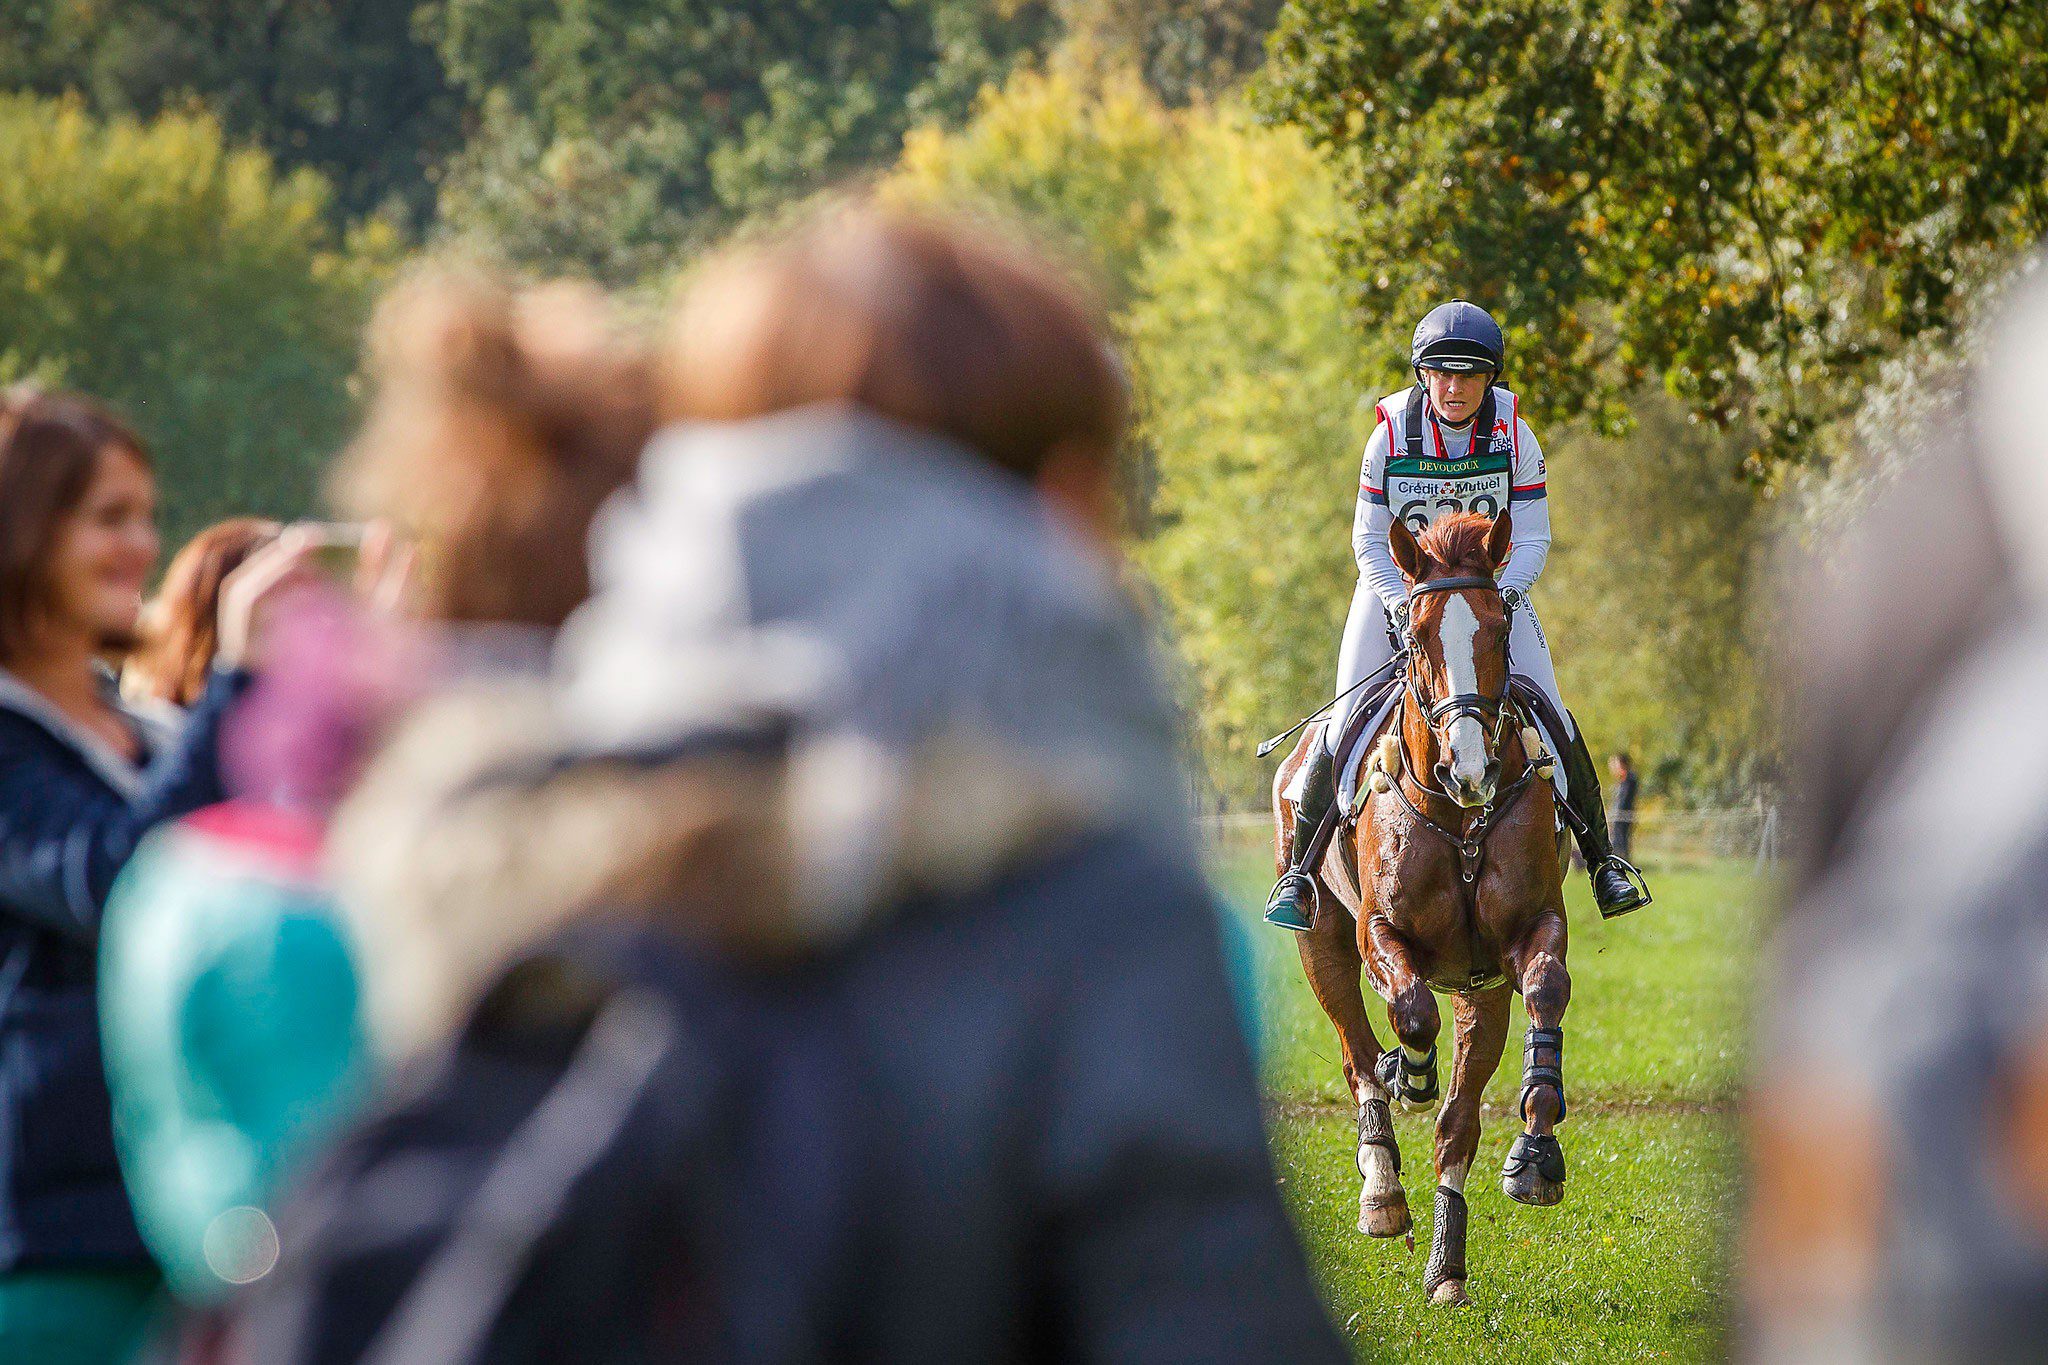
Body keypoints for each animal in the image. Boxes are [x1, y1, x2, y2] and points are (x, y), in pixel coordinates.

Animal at [1277, 511, 1564, 1309]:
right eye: (1417, 637)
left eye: (1499, 627)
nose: (1470, 769)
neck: (1459, 818)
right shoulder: (1378, 932)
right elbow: (1408, 1012)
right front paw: (1409, 1071)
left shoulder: (1522, 940)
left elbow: (1546, 990)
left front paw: (1537, 1149)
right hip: (1320, 942)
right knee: (1356, 1052)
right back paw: (1382, 1188)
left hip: (1480, 992)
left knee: (1455, 1124)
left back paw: (1447, 1268)